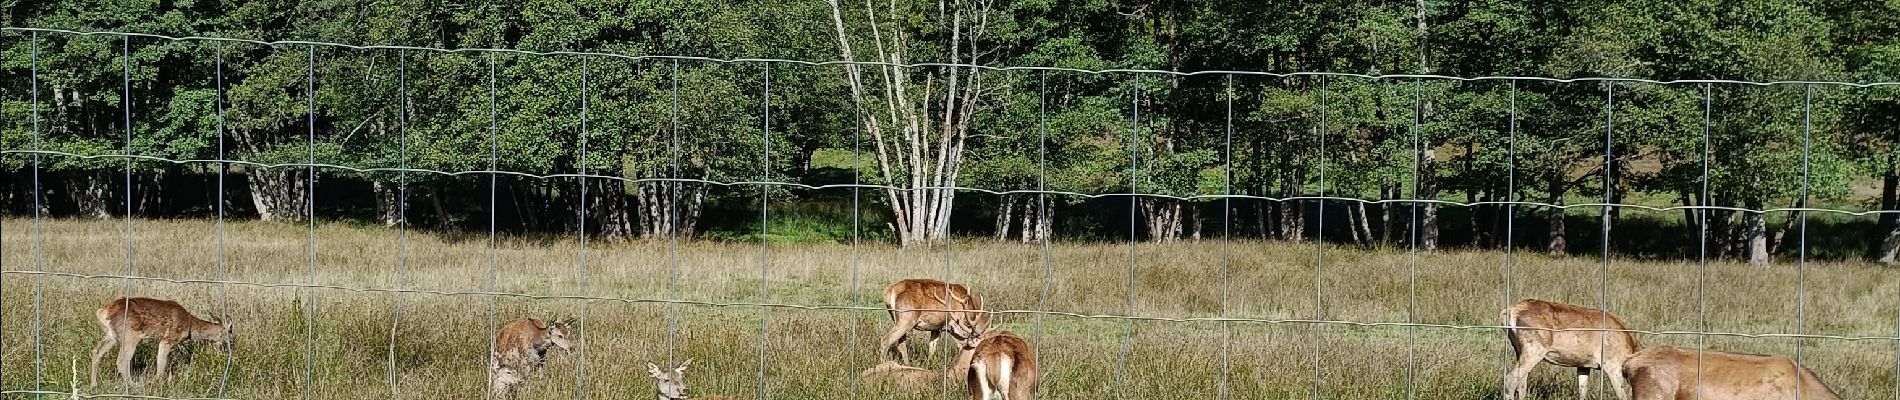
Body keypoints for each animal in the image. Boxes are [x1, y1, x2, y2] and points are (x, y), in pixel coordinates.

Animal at [88, 297, 234, 386]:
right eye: (230, 332)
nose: (230, 345)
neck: (190, 326)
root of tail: (103, 312)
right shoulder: (168, 339)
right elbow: (162, 362)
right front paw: (157, 383)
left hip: (111, 336)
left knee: (96, 351)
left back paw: (93, 385)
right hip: (129, 336)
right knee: (122, 360)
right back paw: (133, 385)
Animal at [1504, 297, 1641, 400]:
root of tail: (1511, 310)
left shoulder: (1583, 365)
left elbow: (1582, 392)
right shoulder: (1612, 365)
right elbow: (1623, 396)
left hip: (1519, 350)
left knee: (1521, 385)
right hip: (1534, 349)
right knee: (1510, 379)